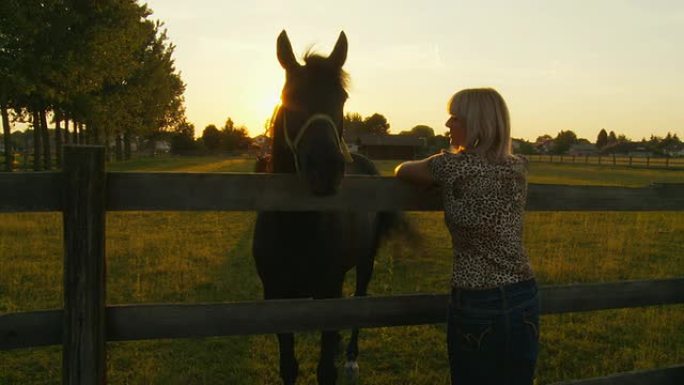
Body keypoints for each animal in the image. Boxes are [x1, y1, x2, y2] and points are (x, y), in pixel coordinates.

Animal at [251, 30, 400, 384]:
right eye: (289, 96)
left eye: (342, 97)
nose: (326, 169)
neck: (296, 228)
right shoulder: (275, 296)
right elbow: (288, 366)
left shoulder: (328, 291)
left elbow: (325, 370)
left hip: (366, 261)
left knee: (359, 300)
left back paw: (351, 357)